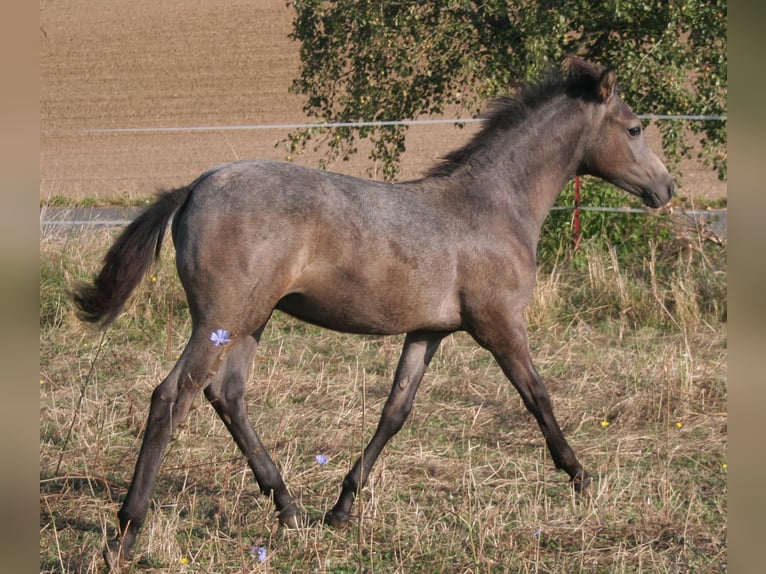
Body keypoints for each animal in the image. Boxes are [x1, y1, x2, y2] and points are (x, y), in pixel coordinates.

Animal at [75, 56, 680, 568]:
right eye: (634, 129)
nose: (667, 188)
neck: (492, 207)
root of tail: (195, 187)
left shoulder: (428, 331)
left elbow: (396, 411)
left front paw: (342, 508)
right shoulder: (500, 325)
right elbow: (538, 397)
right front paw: (581, 478)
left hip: (249, 322)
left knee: (227, 396)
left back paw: (290, 509)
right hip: (220, 321)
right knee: (171, 398)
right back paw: (126, 533)